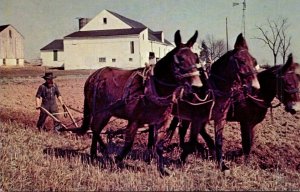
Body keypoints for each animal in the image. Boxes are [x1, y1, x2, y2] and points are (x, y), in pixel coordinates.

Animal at [75, 30, 203, 176]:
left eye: (196, 58)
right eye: (180, 58)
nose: (197, 86)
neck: (153, 87)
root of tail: (92, 77)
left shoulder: (160, 122)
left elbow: (158, 145)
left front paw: (162, 169)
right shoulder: (134, 120)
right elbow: (128, 144)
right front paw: (117, 161)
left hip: (106, 113)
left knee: (96, 130)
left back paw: (97, 153)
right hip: (100, 112)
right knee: (95, 129)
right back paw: (101, 152)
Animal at [166, 53, 300, 163]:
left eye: (298, 82)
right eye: (287, 82)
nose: (295, 108)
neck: (255, 94)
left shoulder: (252, 124)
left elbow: (251, 142)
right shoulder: (244, 123)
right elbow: (246, 143)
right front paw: (246, 162)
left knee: (188, 129)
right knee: (189, 130)